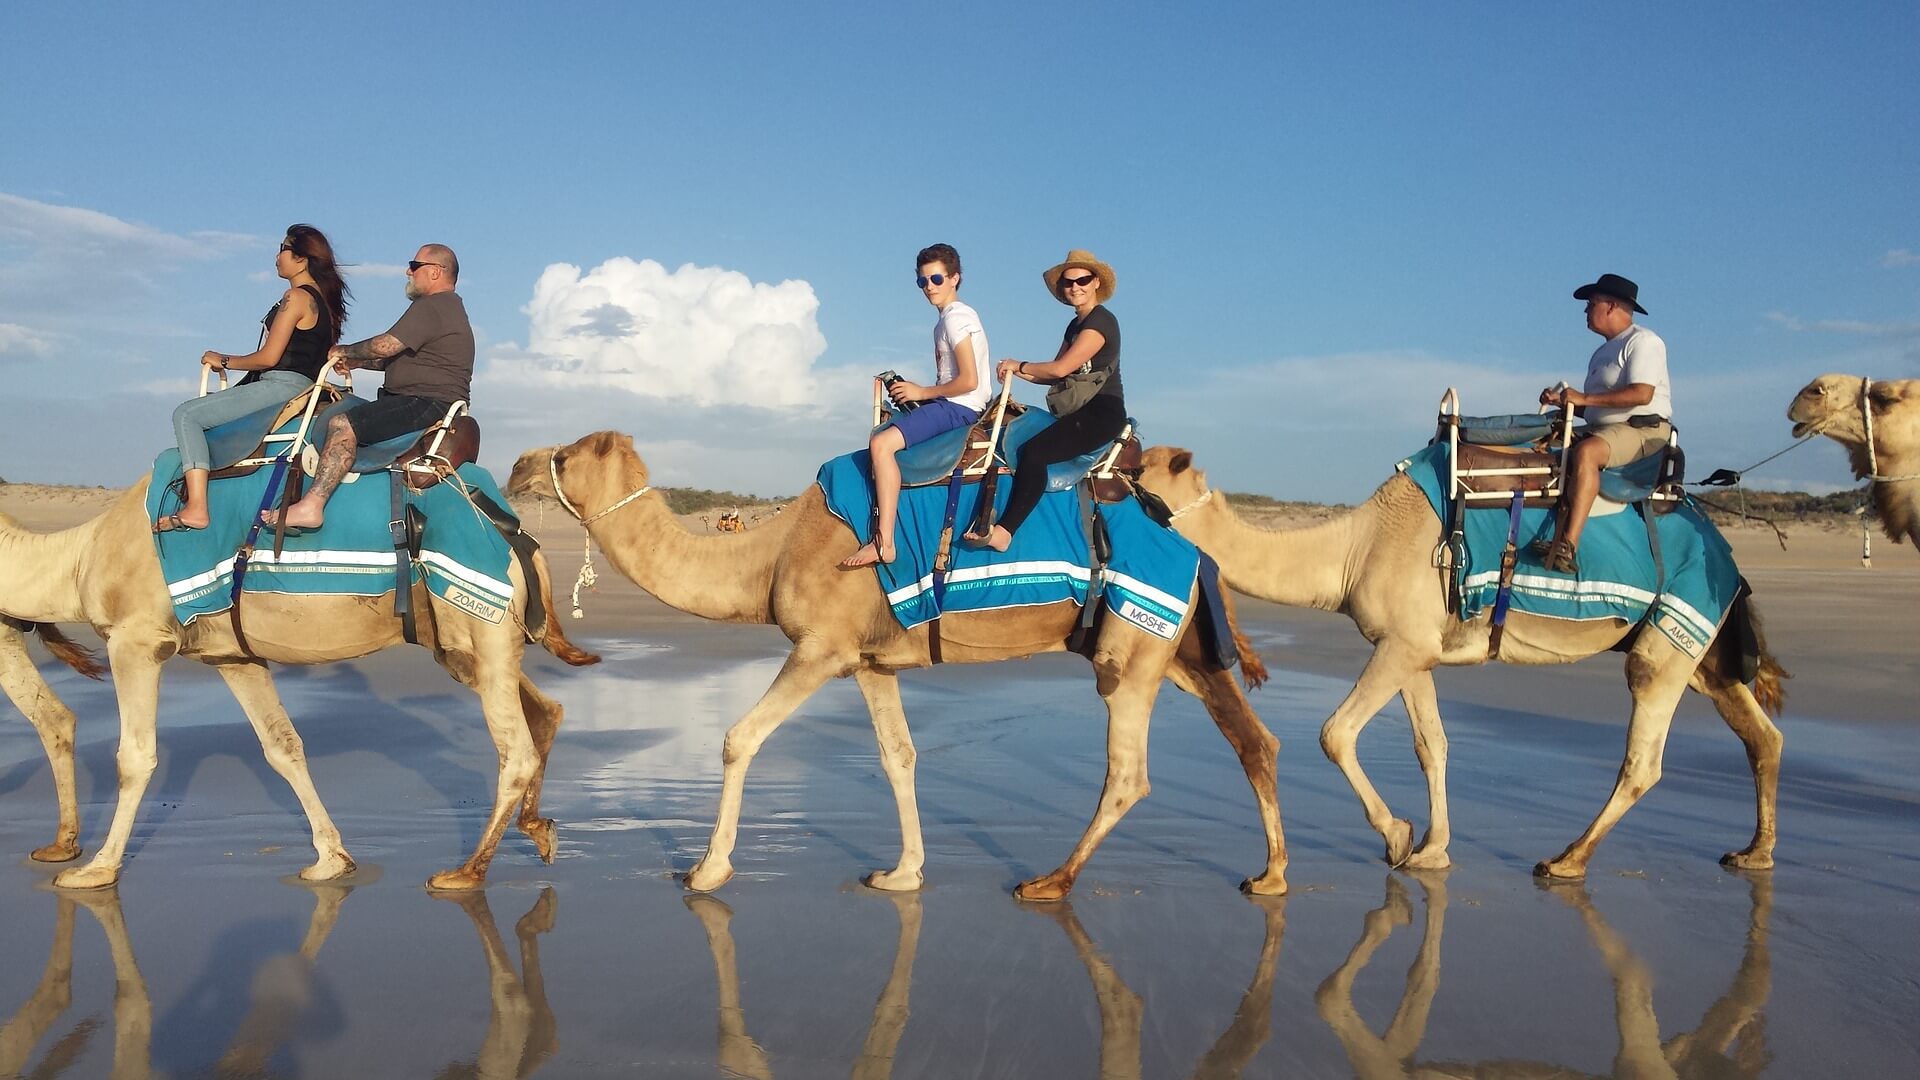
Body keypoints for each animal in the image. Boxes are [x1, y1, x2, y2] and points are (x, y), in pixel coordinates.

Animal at [0, 478, 598, 891]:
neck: (80, 558)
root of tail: (518, 541)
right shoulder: (232, 655)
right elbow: (282, 746)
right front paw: (331, 859)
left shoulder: (136, 639)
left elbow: (135, 757)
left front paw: (94, 870)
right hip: (464, 645)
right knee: (546, 710)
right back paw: (539, 830)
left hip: (481, 624)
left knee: (514, 751)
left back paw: (465, 872)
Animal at [505, 431, 1288, 901]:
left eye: (568, 454)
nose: (517, 464)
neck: (771, 553)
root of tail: (1195, 552)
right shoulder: (869, 661)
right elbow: (898, 755)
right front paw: (903, 872)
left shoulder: (820, 648)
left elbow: (738, 739)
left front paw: (707, 868)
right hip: (1184, 650)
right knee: (1255, 742)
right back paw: (1271, 876)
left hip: (1131, 648)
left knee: (1129, 772)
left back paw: (1049, 881)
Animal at [1132, 446, 1788, 880]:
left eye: (1135, 470)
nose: (1104, 475)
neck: (1354, 549)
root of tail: (1728, 554)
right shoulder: (1414, 650)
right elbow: (1433, 746)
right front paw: (1431, 848)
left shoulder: (1402, 644)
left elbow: (1334, 733)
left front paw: (1397, 837)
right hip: (1701, 649)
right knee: (1762, 733)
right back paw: (1754, 852)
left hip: (1671, 635)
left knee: (1643, 759)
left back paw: (1566, 860)